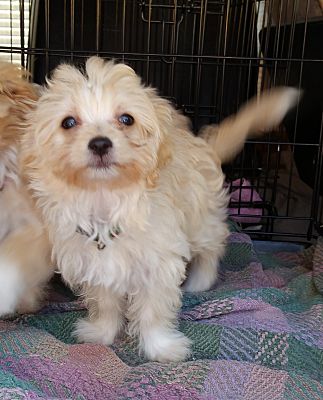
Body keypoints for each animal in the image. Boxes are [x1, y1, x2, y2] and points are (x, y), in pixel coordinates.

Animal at [20, 57, 298, 362]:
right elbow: (105, 304)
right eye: (68, 122)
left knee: (214, 244)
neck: (107, 199)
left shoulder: (158, 264)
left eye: (126, 119)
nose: (100, 143)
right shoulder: (96, 265)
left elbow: (152, 312)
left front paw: (161, 347)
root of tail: (201, 143)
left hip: (200, 219)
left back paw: (201, 280)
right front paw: (102, 332)